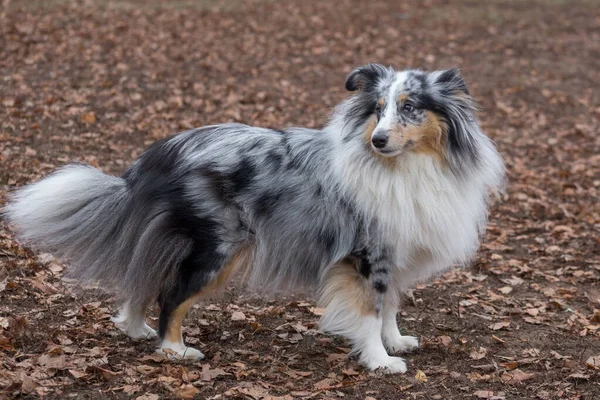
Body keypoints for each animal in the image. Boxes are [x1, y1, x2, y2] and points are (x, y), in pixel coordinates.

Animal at [4, 64, 504, 374]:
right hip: (218, 249)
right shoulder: (367, 254)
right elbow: (370, 309)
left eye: (410, 107)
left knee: (144, 277)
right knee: (171, 295)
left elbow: (391, 305)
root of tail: (159, 153)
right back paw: (175, 350)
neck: (406, 166)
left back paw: (134, 327)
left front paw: (394, 342)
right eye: (378, 109)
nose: (378, 140)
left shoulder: (395, 251)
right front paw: (380, 361)